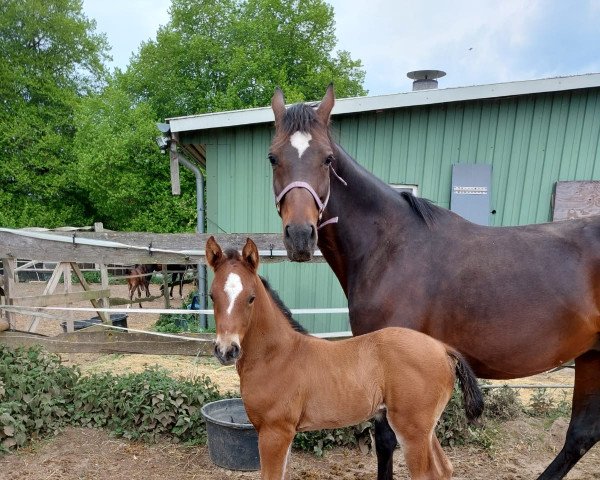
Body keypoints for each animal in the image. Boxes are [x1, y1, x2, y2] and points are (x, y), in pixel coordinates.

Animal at [206, 236, 482, 480]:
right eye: (212, 296)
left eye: (251, 298)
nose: (226, 350)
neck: (277, 355)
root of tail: (442, 348)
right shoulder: (283, 433)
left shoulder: (275, 431)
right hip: (425, 427)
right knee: (444, 469)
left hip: (411, 429)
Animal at [274, 84, 600, 478]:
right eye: (273, 158)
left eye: (327, 159)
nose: (300, 236)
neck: (392, 245)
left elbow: (386, 441)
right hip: (592, 356)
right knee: (581, 434)